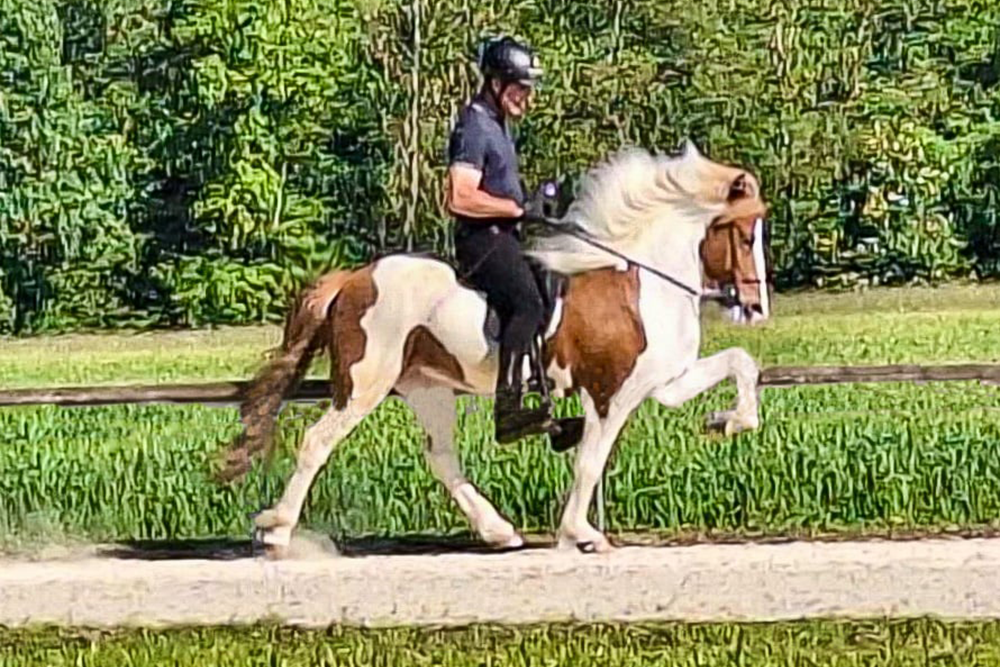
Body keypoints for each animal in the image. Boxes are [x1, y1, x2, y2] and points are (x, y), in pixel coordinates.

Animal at [217, 140, 772, 560]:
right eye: (745, 235)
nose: (755, 306)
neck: (640, 283)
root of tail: (353, 278)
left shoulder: (663, 381)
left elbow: (741, 363)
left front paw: (726, 421)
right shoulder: (610, 393)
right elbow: (590, 462)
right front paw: (582, 534)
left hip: (425, 386)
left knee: (441, 456)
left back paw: (499, 531)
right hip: (364, 383)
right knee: (317, 442)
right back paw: (277, 531)